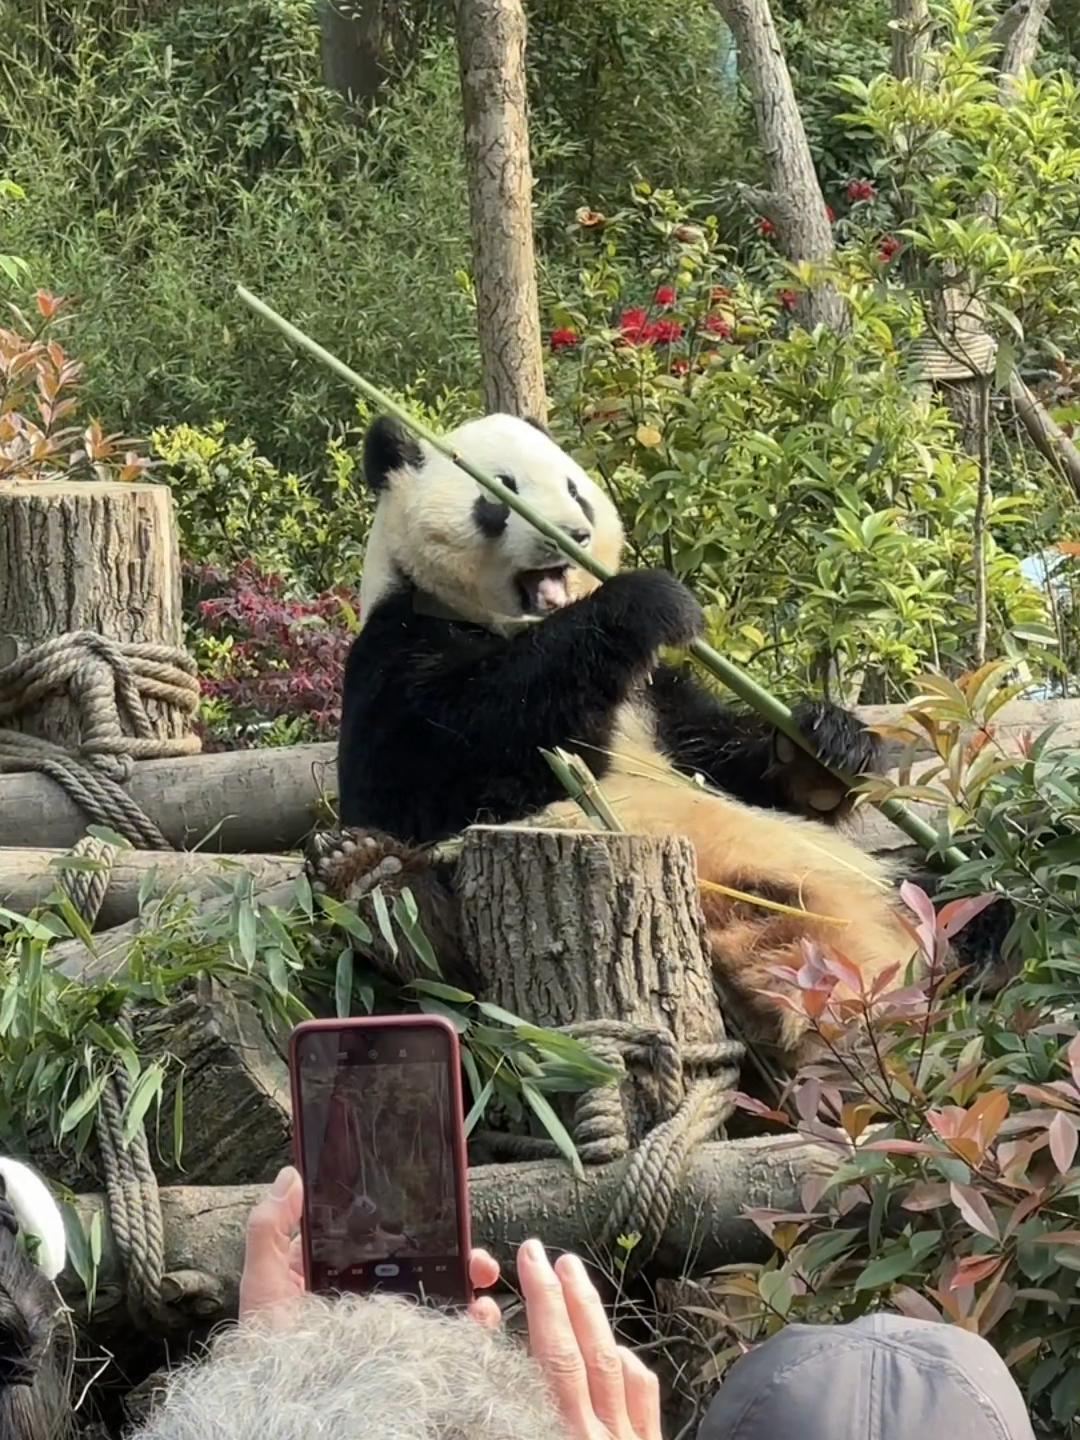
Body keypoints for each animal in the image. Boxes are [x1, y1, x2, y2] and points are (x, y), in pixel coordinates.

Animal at [321, 411, 933, 1065]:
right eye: (499, 493)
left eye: (574, 489)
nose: (574, 532)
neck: (509, 624)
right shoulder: (400, 649)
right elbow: (445, 759)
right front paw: (648, 600)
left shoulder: (657, 698)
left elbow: (730, 763)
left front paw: (827, 743)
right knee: (429, 940)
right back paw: (368, 872)